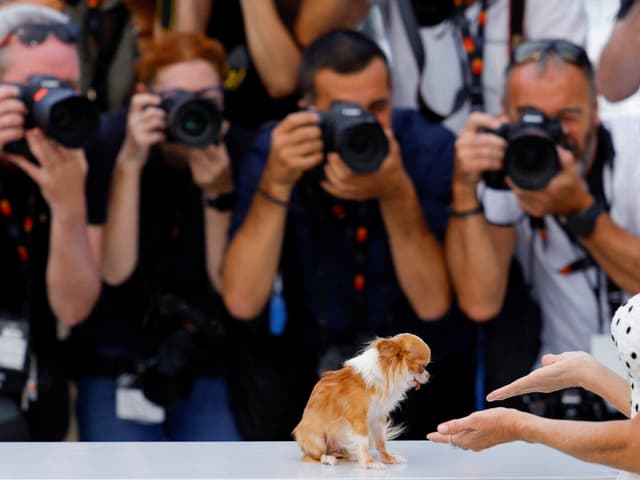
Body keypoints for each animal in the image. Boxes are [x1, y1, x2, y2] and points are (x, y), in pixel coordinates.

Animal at [292, 334, 432, 468]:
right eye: (421, 366)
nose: (428, 375)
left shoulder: (378, 418)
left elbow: (381, 442)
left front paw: (388, 458)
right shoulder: (359, 419)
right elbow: (364, 443)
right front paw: (369, 462)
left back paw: (351, 456)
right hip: (316, 438)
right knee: (311, 456)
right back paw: (327, 458)